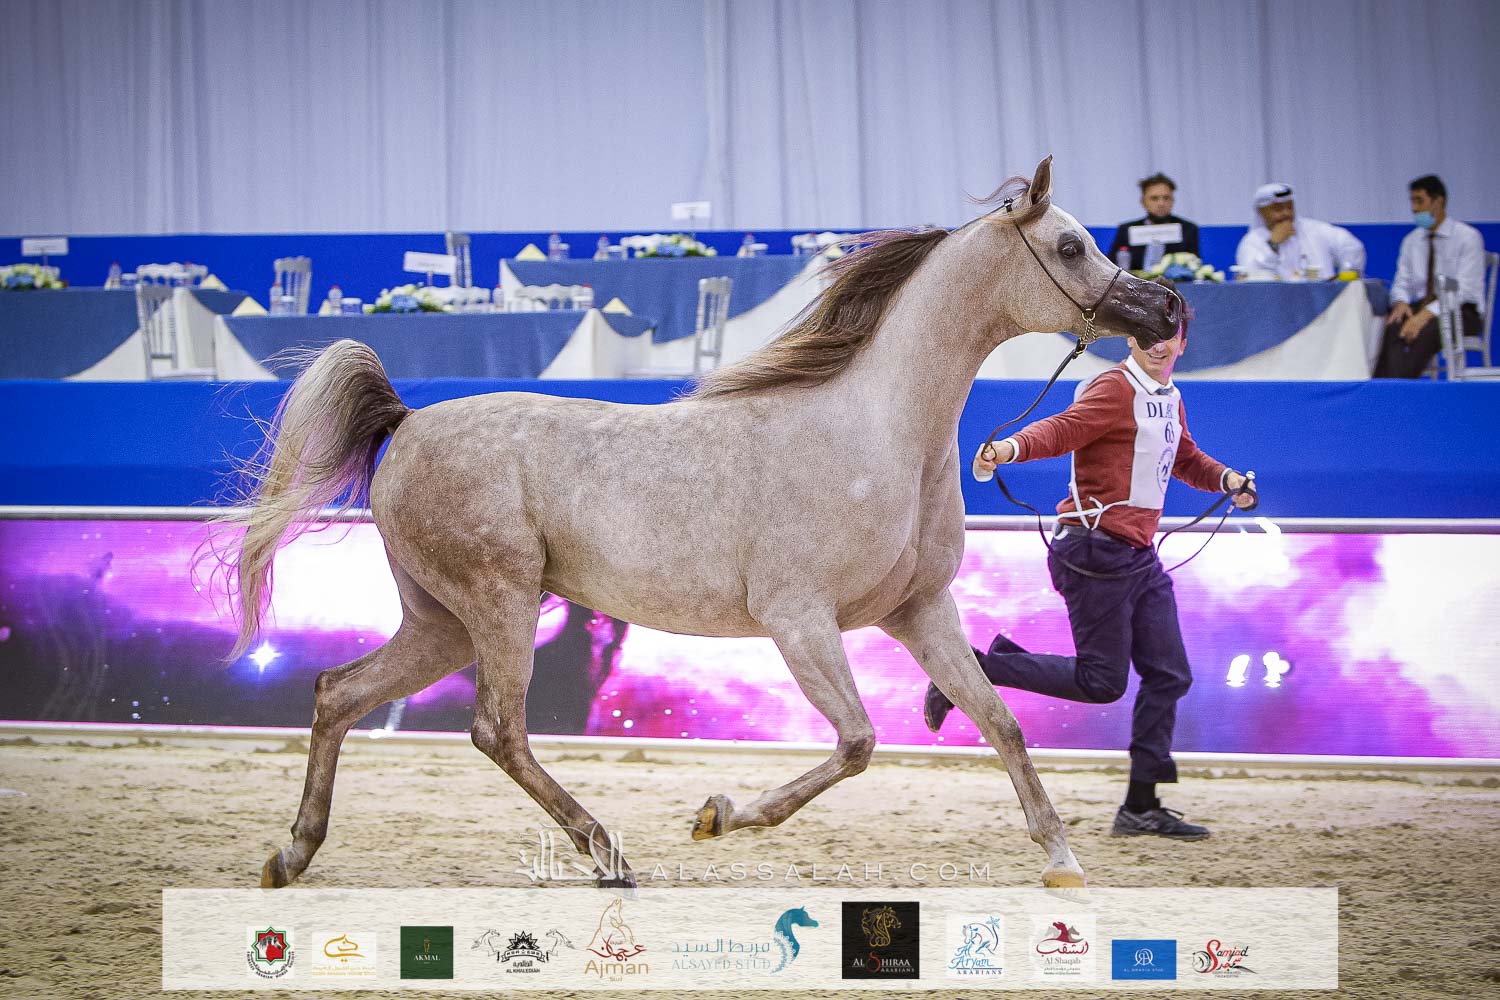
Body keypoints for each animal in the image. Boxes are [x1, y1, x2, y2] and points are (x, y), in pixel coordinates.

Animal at [224, 155, 1179, 892]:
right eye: (1069, 245)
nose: (1167, 308)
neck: (876, 432)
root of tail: (407, 421)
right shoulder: (800, 620)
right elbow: (859, 742)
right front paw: (719, 815)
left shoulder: (921, 611)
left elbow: (1001, 722)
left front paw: (1061, 859)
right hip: (497, 602)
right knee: (497, 730)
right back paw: (608, 857)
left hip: (443, 622)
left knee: (338, 693)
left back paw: (292, 855)